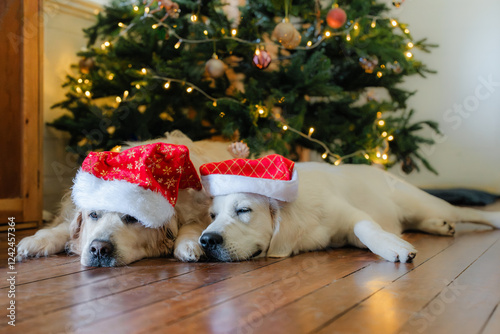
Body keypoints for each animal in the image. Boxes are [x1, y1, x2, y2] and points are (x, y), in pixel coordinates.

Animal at [197, 155, 500, 262]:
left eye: (243, 210)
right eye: (212, 216)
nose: (206, 240)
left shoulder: (351, 215)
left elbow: (366, 227)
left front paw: (392, 245)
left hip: (420, 202)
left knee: (466, 212)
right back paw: (439, 226)